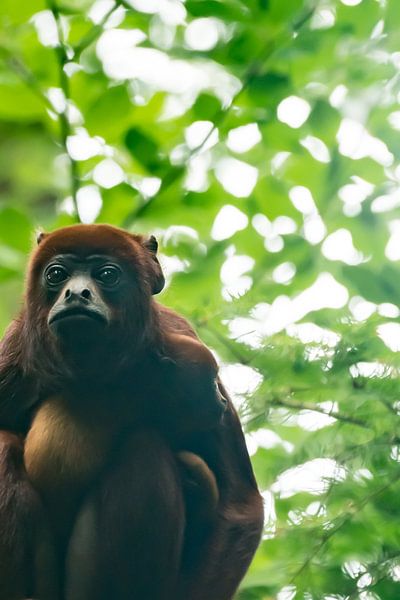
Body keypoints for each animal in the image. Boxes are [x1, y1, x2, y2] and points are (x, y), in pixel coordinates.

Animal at [0, 225, 264, 600]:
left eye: (107, 275)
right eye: (56, 274)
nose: (76, 294)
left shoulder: (178, 331)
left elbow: (240, 507)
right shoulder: (15, 353)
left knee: (144, 447)